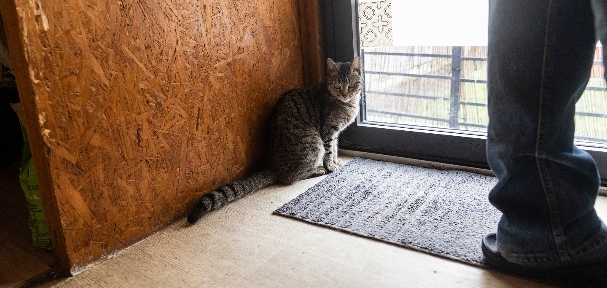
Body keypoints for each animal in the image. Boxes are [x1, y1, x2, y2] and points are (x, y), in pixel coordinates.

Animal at [188, 55, 364, 223]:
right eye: (337, 86)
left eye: (351, 86)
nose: (345, 94)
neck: (346, 103)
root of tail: (273, 166)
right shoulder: (327, 132)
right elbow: (329, 151)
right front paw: (331, 166)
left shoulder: (335, 134)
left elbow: (335, 149)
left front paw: (336, 162)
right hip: (314, 142)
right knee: (289, 177)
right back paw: (318, 170)